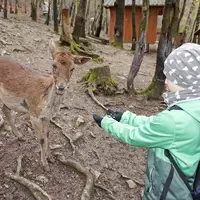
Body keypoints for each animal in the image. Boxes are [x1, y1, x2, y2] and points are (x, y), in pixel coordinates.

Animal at [0, 40, 90, 170]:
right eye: (54, 65)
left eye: (73, 68)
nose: (61, 87)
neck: (48, 104)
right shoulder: (33, 113)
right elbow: (42, 138)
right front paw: (44, 164)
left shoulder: (47, 116)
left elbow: (47, 134)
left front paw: (50, 158)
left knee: (5, 109)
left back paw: (20, 136)